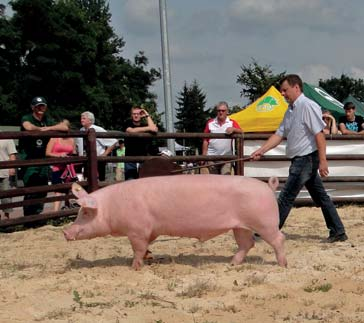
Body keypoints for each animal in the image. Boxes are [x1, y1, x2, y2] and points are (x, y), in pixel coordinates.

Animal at [63, 176, 288, 270]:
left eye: (85, 212)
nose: (65, 232)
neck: (112, 207)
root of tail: (268, 187)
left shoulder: (137, 230)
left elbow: (137, 249)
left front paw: (134, 268)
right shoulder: (150, 230)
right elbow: (146, 246)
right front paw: (149, 258)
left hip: (264, 223)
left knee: (278, 239)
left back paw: (282, 265)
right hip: (240, 226)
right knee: (247, 243)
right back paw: (232, 264)